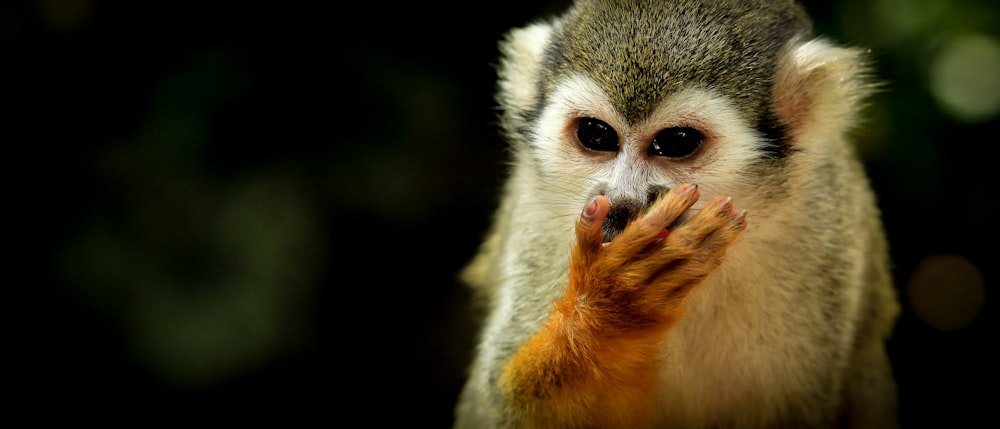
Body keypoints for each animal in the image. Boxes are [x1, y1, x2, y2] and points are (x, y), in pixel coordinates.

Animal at [458, 0, 904, 428]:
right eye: (596, 135)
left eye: (676, 142)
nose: (621, 204)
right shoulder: (538, 220)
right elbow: (505, 409)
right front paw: (609, 313)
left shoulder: (823, 232)